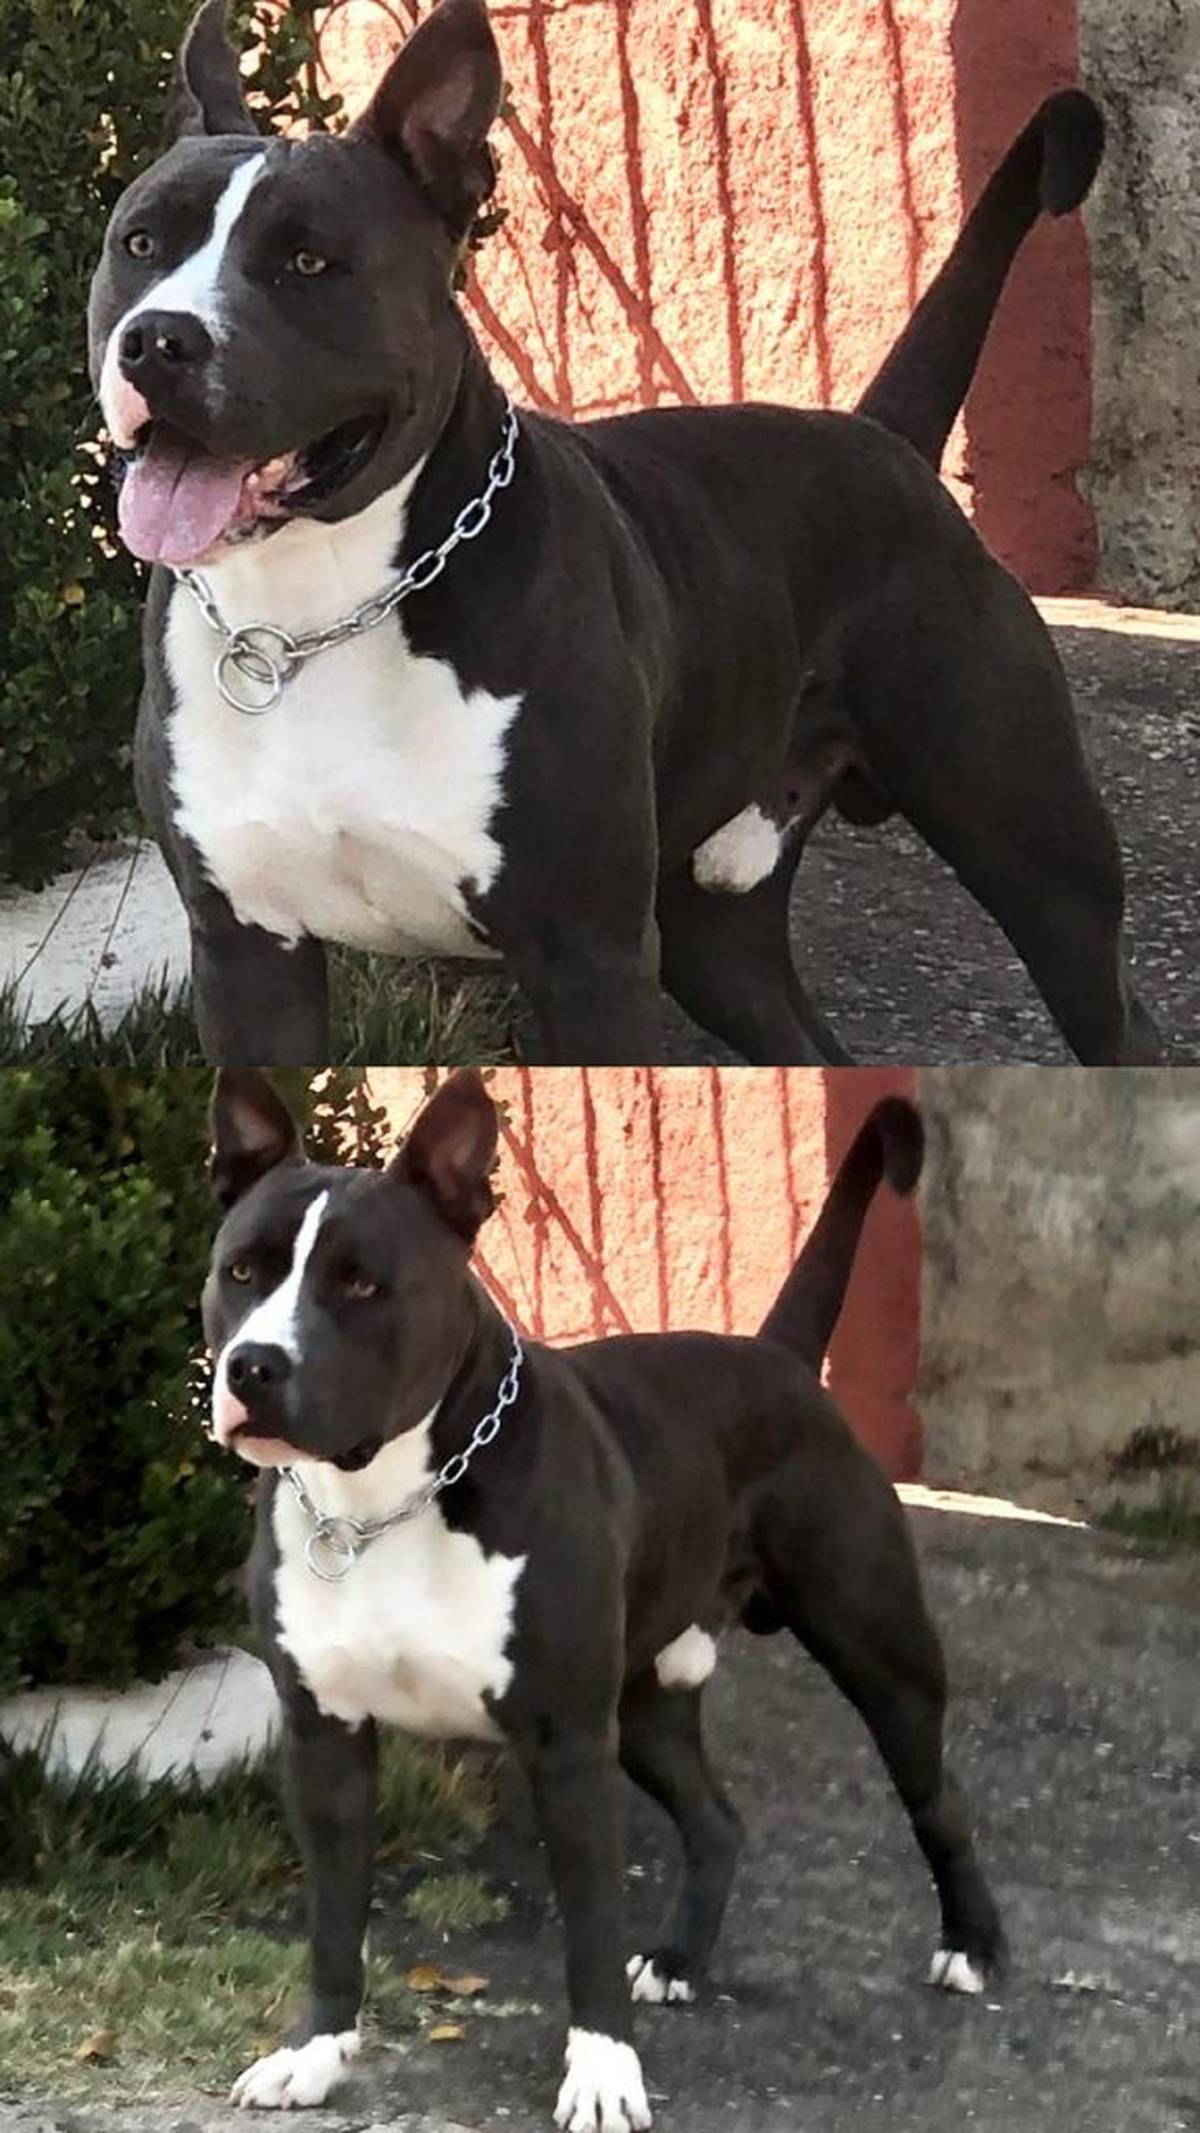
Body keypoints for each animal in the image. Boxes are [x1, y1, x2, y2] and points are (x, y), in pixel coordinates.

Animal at [86, 0, 1160, 1070]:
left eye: (308, 263)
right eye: (139, 244)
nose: (157, 339)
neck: (313, 613)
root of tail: (881, 437)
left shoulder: (587, 957)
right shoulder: (246, 957)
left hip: (1040, 864)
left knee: (1113, 1000)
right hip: (714, 930)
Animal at [203, 1067, 1003, 2128]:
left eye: (362, 1283)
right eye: (242, 1271)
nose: (253, 1365)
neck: (385, 1501)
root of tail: (779, 1357)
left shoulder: (567, 1744)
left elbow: (586, 1925)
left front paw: (602, 2072)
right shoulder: (323, 1736)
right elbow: (334, 1919)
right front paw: (313, 2053)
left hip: (882, 1654)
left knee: (938, 1797)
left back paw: (974, 1943)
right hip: (648, 1697)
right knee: (715, 1819)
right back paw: (679, 1957)